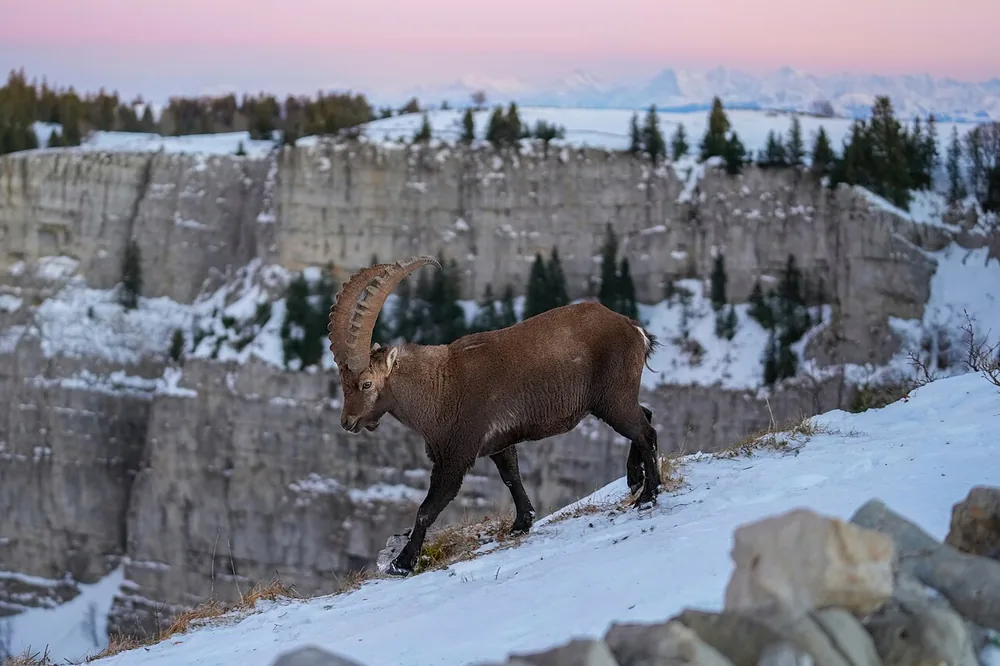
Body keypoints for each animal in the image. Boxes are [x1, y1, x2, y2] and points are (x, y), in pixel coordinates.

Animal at [327, 255, 663, 577]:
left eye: (366, 383)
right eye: (343, 383)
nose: (347, 422)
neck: (439, 386)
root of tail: (633, 328)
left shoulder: (456, 455)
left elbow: (427, 509)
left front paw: (402, 563)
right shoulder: (499, 443)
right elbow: (511, 477)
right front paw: (522, 523)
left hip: (612, 398)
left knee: (645, 431)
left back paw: (648, 494)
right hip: (614, 398)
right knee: (645, 416)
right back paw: (635, 478)